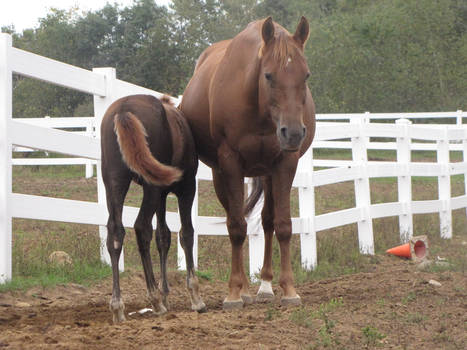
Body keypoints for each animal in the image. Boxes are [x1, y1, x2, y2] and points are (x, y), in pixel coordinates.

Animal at [101, 93, 206, 322]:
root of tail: (123, 110)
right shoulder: (186, 189)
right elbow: (186, 234)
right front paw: (195, 297)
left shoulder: (162, 196)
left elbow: (163, 237)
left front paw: (165, 293)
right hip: (152, 187)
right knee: (141, 227)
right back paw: (155, 300)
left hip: (115, 182)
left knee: (116, 232)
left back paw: (118, 307)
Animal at [181, 17, 316, 308]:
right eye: (269, 75)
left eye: (306, 75)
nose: (293, 133)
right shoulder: (230, 163)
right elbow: (236, 228)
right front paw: (234, 292)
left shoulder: (285, 163)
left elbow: (283, 225)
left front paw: (289, 289)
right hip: (222, 175)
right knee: (235, 218)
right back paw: (243, 288)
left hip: (267, 173)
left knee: (267, 221)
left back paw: (264, 285)